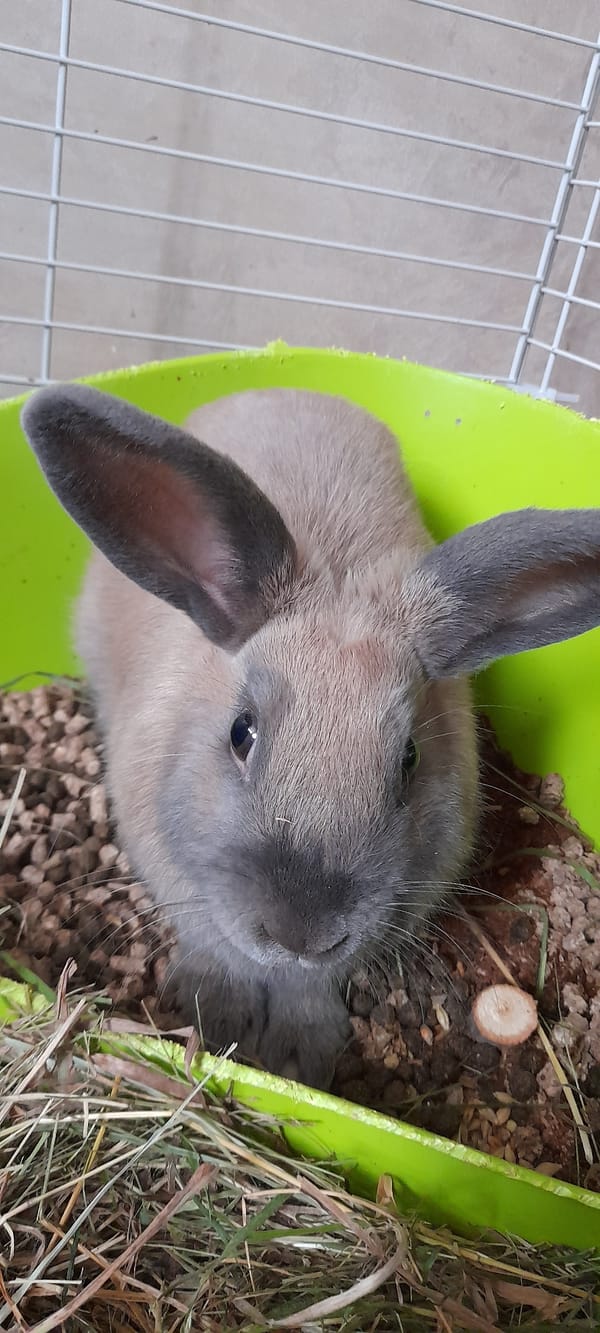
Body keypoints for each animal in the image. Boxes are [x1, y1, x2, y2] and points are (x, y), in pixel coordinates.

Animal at [21, 381, 600, 1089]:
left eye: (409, 758)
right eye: (241, 732)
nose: (302, 931)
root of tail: (283, 387)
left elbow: (311, 987)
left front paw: (299, 1052)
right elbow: (217, 949)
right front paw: (218, 1021)